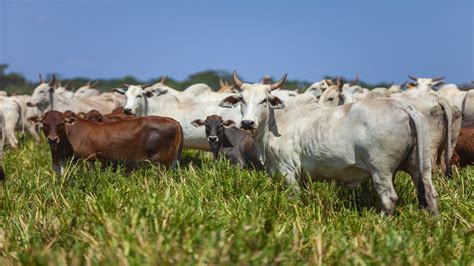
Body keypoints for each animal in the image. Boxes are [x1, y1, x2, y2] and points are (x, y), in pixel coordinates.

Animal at [28, 110, 183, 175]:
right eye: (44, 123)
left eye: (61, 123)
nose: (52, 139)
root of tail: (172, 120)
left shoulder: (87, 160)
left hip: (163, 163)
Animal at [218, 71, 436, 215]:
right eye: (242, 100)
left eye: (264, 100)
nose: (247, 123)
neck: (277, 119)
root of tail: (401, 105)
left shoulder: (288, 171)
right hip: (420, 167)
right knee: (429, 194)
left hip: (380, 170)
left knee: (389, 198)